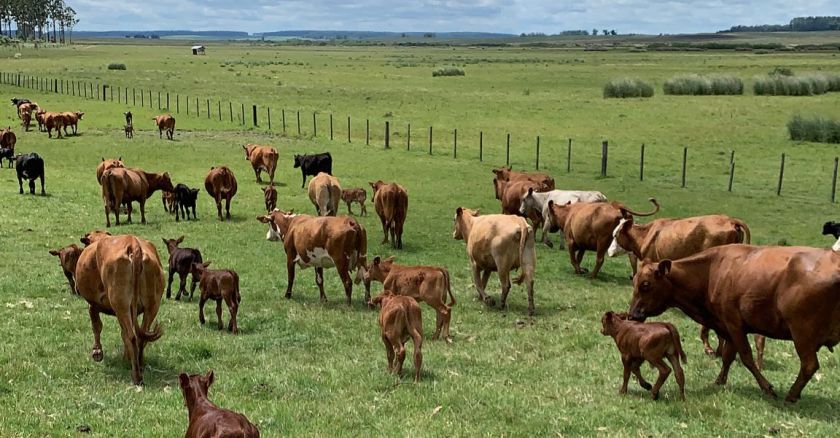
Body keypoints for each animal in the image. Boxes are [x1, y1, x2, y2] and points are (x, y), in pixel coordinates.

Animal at [75, 231, 164, 385]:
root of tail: (134, 244)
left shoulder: (92, 305)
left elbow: (96, 326)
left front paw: (97, 352)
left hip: (120, 304)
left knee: (131, 336)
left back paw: (136, 377)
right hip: (152, 305)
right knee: (141, 336)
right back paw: (140, 365)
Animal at [628, 245, 840, 403]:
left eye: (646, 284)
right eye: (635, 282)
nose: (631, 316)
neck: (711, 271)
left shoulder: (734, 323)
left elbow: (745, 356)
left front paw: (767, 387)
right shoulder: (725, 325)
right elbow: (728, 356)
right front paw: (719, 380)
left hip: (802, 333)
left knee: (809, 365)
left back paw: (791, 395)